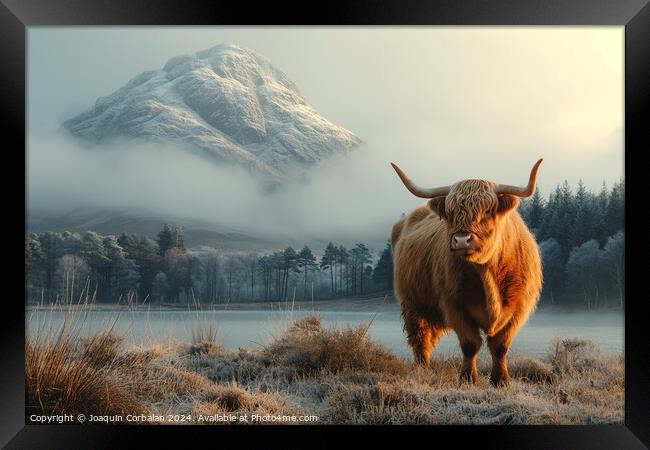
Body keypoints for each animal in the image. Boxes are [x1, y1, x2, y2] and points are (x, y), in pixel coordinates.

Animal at [390, 159, 540, 386]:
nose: (461, 240)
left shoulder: (518, 308)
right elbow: (470, 344)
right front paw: (468, 378)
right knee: (420, 338)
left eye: (487, 211)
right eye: (450, 213)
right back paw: (423, 369)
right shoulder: (454, 305)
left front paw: (500, 380)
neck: (487, 275)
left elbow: (500, 346)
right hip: (412, 304)